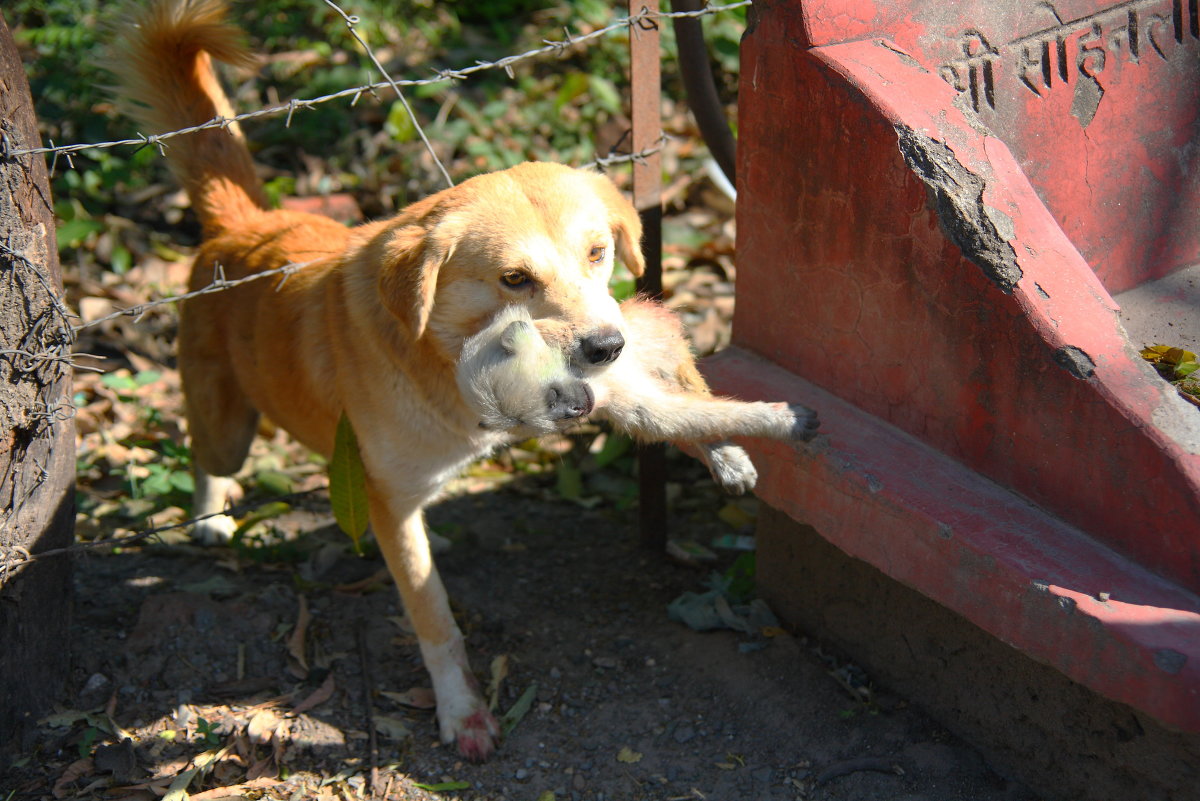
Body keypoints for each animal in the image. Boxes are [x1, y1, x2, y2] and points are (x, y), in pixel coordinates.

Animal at [110, 0, 648, 757]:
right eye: (514, 279)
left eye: (598, 253)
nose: (609, 347)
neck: (438, 355)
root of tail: (242, 224)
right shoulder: (390, 505)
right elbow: (433, 614)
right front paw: (461, 708)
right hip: (228, 431)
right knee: (204, 458)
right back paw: (213, 517)